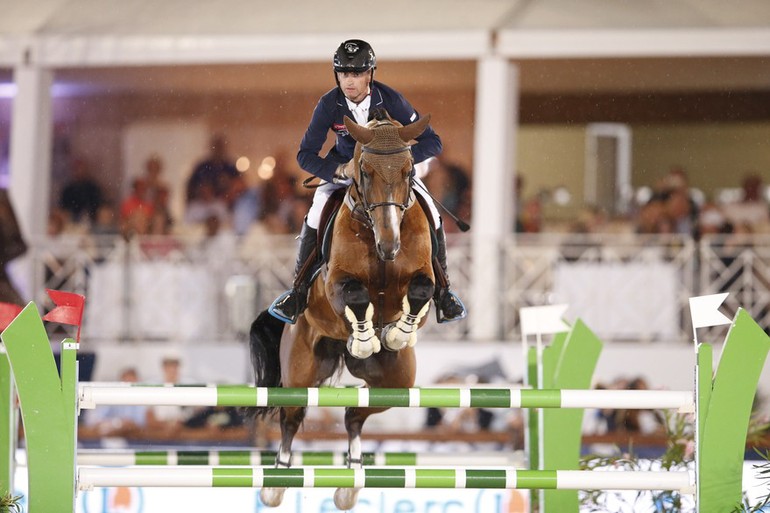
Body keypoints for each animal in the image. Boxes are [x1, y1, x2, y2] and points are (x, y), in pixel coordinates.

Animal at [249, 111, 436, 508]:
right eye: (363, 171)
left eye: (409, 170)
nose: (390, 245)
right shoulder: (334, 285)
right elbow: (355, 294)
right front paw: (365, 339)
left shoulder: (423, 281)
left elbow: (422, 290)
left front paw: (395, 334)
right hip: (300, 372)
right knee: (291, 417)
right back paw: (276, 482)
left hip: (396, 383)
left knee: (354, 415)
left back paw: (351, 480)